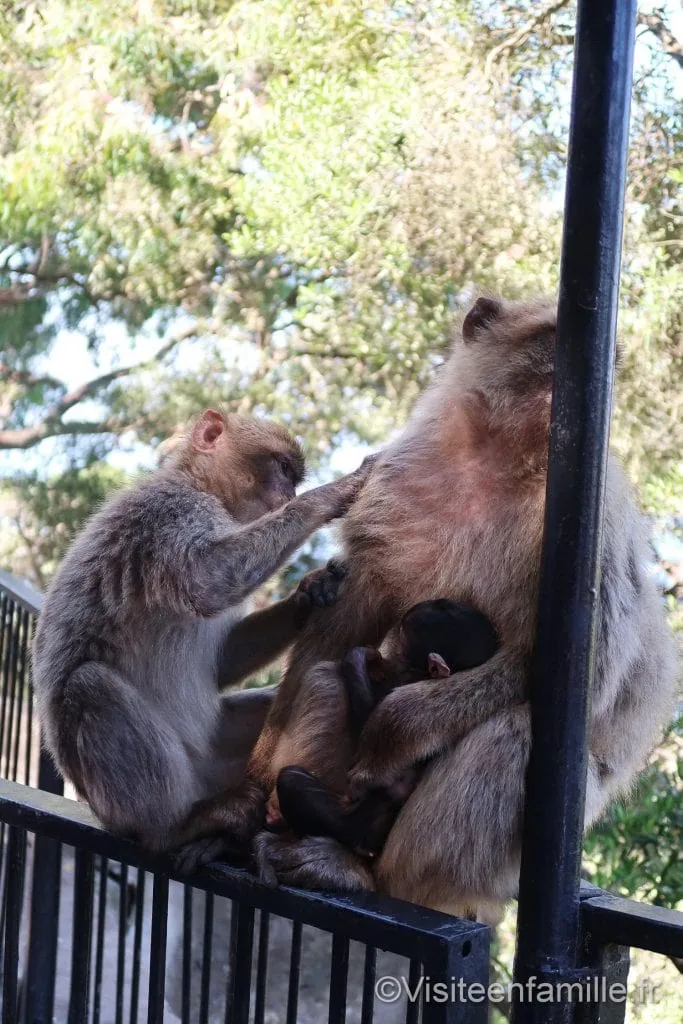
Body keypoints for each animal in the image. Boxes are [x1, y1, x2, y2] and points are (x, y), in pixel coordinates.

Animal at [32, 408, 375, 865]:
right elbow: (206, 580)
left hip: (219, 754)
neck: (197, 483)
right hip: (126, 801)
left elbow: (223, 662)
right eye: (283, 468)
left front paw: (311, 592)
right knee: (89, 684)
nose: (288, 494)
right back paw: (172, 828)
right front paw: (332, 494)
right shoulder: (170, 513)